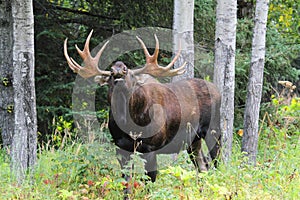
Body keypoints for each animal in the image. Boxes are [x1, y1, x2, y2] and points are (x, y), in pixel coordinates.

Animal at [63, 30, 223, 184]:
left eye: (131, 75)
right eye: (110, 75)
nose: (119, 69)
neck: (129, 123)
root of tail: (217, 90)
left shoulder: (151, 147)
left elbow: (149, 180)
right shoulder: (121, 148)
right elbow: (126, 181)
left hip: (213, 131)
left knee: (217, 162)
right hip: (194, 141)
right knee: (203, 165)